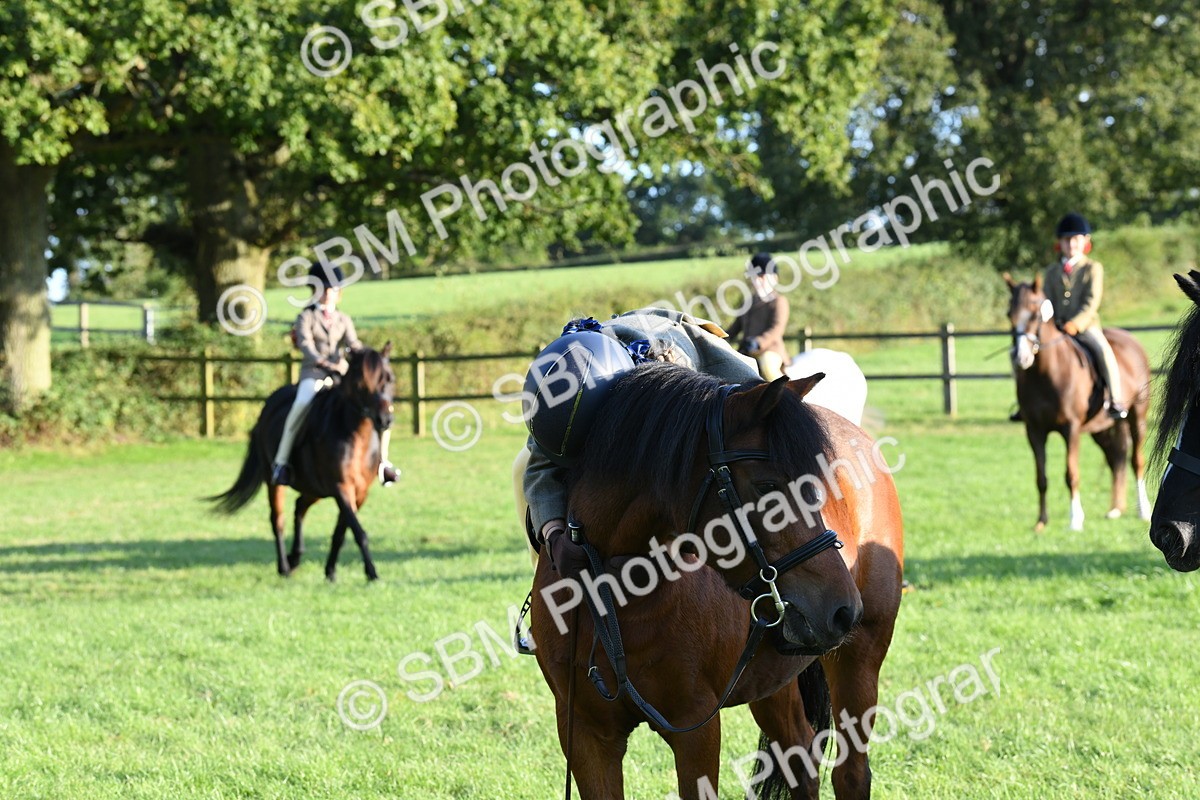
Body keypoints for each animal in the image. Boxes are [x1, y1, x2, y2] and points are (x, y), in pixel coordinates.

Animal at [208, 344, 396, 581]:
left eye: (389, 378)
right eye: (361, 383)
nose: (384, 420)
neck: (354, 434)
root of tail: (269, 403)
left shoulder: (359, 492)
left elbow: (341, 532)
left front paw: (330, 571)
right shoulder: (341, 488)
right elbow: (358, 532)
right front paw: (372, 573)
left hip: (315, 489)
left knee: (299, 507)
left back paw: (295, 557)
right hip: (275, 482)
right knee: (277, 521)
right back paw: (284, 567)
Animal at [530, 364, 904, 799]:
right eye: (767, 487)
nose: (845, 609)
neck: (616, 598)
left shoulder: (696, 730)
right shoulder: (586, 734)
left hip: (860, 656)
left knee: (850, 773)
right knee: (800, 758)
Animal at [1003, 274, 1152, 531]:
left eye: (1034, 315)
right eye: (1009, 314)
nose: (1020, 357)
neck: (1045, 374)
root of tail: (1131, 340)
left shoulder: (1070, 429)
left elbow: (1071, 474)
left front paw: (1075, 520)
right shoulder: (1034, 431)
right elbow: (1041, 478)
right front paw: (1041, 522)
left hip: (1137, 417)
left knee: (1136, 461)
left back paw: (1143, 510)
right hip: (1101, 429)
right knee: (1116, 459)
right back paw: (1115, 510)